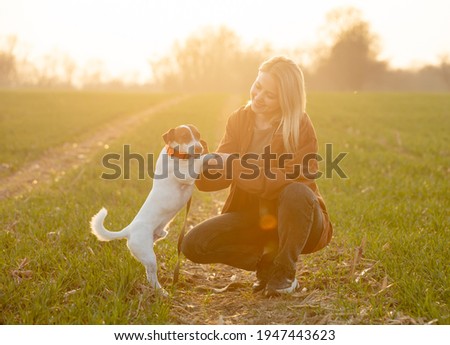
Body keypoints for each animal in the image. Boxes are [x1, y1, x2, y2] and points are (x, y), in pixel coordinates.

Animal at [91, 124, 207, 296]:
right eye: (185, 136)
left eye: (198, 135)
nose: (199, 147)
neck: (177, 155)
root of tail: (129, 230)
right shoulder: (186, 175)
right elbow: (199, 162)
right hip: (149, 256)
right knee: (151, 276)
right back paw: (162, 292)